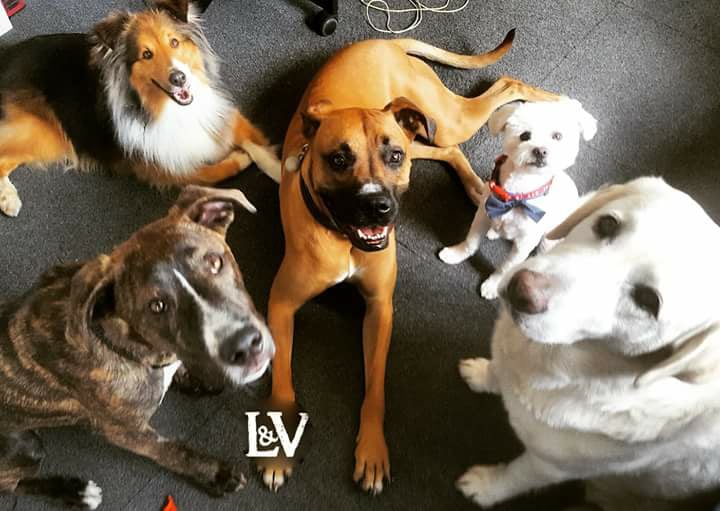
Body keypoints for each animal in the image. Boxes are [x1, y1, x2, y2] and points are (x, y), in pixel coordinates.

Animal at [0, 0, 280, 218]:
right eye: (146, 54)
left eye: (174, 42)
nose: (179, 78)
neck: (168, 108)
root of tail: (6, 56)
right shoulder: (159, 166)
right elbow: (211, 173)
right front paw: (240, 158)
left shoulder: (219, 113)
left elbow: (255, 142)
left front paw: (280, 170)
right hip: (42, 132)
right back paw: (8, 198)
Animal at [0, 186, 275, 509]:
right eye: (157, 306)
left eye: (214, 262)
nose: (245, 345)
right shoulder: (126, 432)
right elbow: (172, 451)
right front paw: (216, 474)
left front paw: (195, 380)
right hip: (25, 445)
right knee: (12, 484)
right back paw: (75, 491)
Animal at [258, 30, 559, 494]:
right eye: (338, 159)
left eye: (391, 158)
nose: (379, 207)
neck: (343, 237)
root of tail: (382, 42)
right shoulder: (282, 305)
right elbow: (282, 379)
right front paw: (277, 451)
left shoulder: (380, 308)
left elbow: (376, 389)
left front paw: (372, 451)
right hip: (425, 130)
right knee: (448, 147)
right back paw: (476, 183)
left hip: (438, 118)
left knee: (503, 88)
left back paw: (548, 100)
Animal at [439, 99, 597, 300]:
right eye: (525, 135)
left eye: (557, 136)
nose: (541, 151)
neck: (518, 193)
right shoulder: (482, 214)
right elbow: (471, 241)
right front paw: (457, 254)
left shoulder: (524, 244)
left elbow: (505, 267)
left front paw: (493, 285)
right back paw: (494, 232)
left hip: (550, 237)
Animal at [455, 177, 720, 510]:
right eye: (607, 224)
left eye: (648, 301)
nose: (522, 290)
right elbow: (496, 369)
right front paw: (482, 374)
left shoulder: (550, 467)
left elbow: (515, 476)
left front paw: (484, 487)